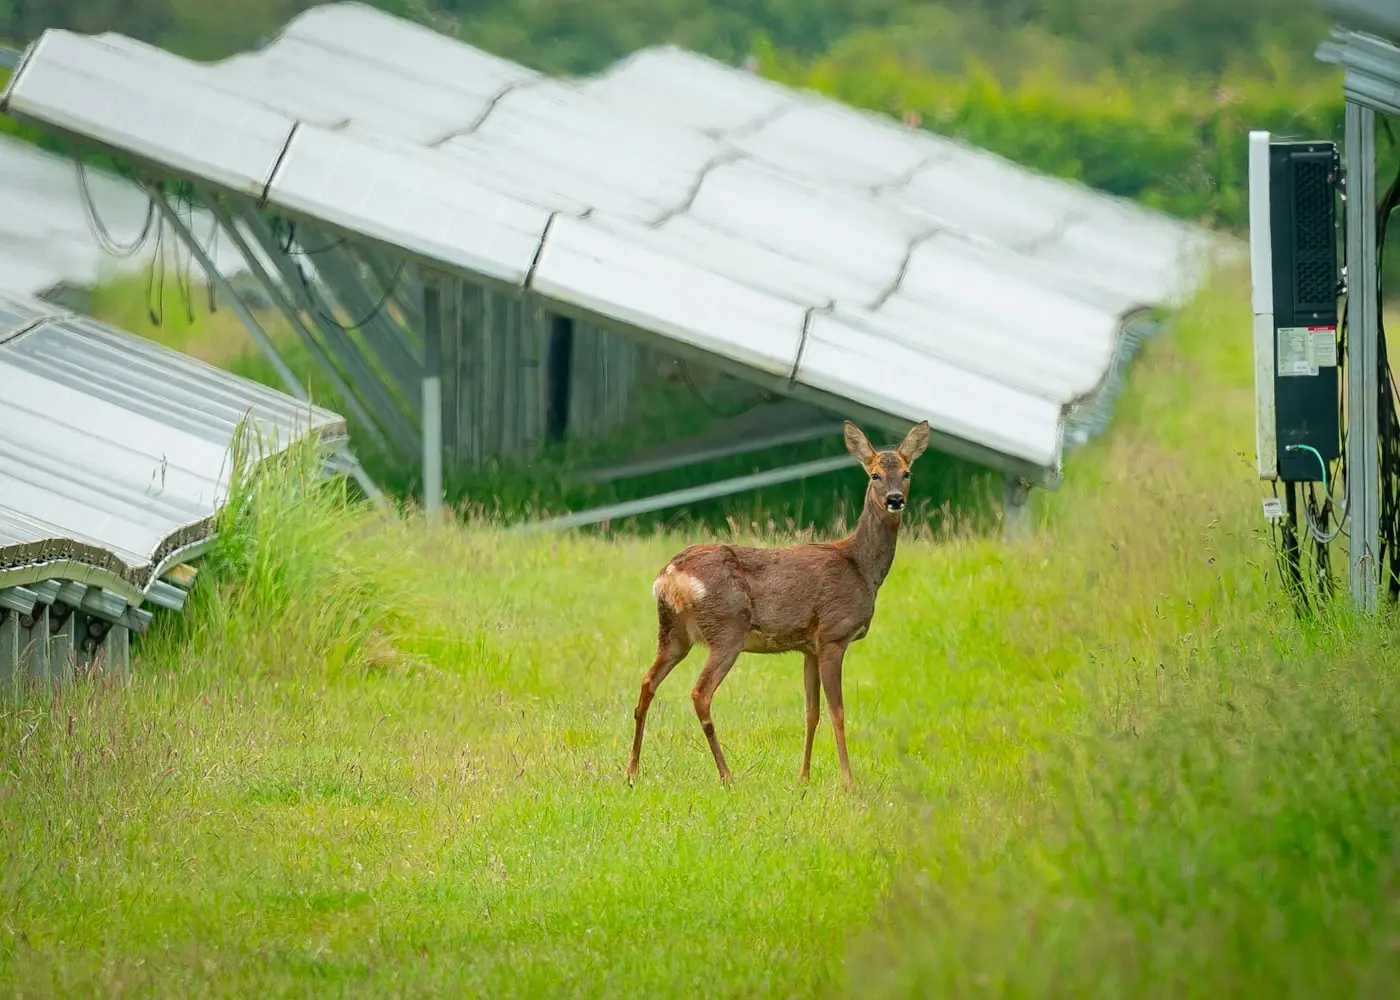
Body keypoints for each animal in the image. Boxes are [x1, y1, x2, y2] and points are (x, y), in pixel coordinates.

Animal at [625, 418, 931, 789]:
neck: (862, 568)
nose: (895, 499)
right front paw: (848, 782)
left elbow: (811, 712)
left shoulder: (809, 646)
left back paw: (632, 771)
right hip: (728, 628)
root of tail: (668, 576)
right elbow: (838, 712)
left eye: (907, 472)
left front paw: (803, 777)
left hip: (674, 633)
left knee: (647, 682)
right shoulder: (833, 635)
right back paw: (727, 775)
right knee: (700, 693)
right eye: (874, 474)